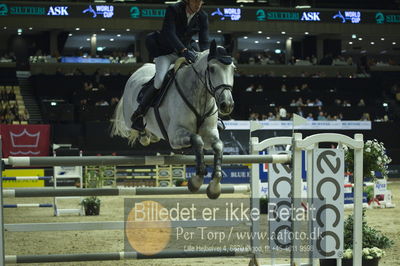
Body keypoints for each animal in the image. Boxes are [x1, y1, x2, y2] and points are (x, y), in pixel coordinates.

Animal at [111, 41, 234, 200]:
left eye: (233, 69)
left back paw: (152, 136)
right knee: (136, 126)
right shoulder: (175, 136)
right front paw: (196, 181)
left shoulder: (210, 135)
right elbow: (197, 140)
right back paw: (143, 133)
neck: (200, 98)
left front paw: (214, 187)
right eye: (212, 69)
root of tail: (136, 73)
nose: (227, 105)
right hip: (129, 117)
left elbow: (218, 146)